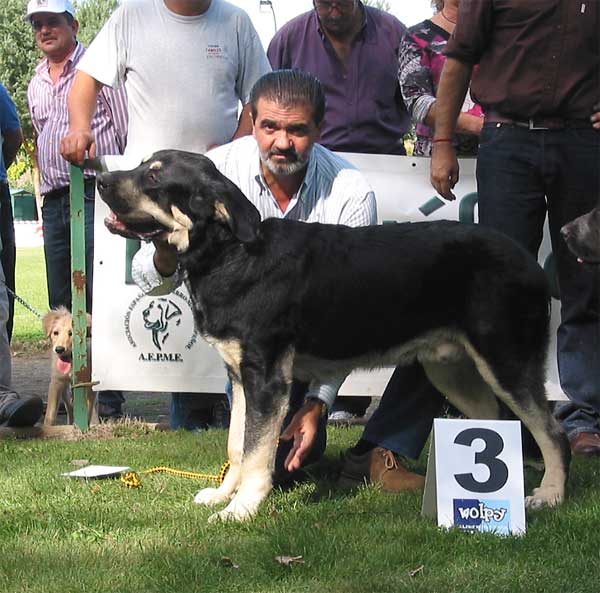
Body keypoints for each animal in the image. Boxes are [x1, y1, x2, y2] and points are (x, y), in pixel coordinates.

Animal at [96, 150, 568, 520]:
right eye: (142, 165)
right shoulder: (241, 375)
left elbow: (256, 450)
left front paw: (242, 508)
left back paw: (550, 494)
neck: (229, 253)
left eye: (153, 177)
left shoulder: (267, 378)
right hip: (453, 371)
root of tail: (532, 264)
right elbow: (237, 446)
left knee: (551, 432)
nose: (99, 178)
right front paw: (225, 495)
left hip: (506, 360)